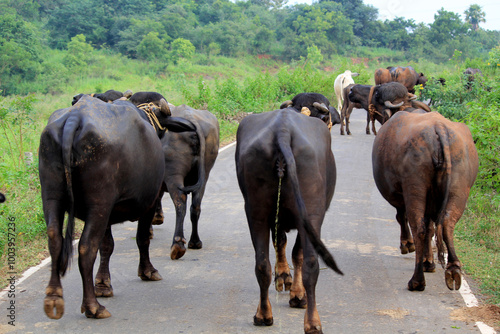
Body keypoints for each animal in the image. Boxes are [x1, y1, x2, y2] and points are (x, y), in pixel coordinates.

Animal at [39, 95, 195, 320]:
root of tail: (74, 118)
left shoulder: (108, 214)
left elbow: (107, 246)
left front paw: (103, 284)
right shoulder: (149, 203)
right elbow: (142, 238)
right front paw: (147, 271)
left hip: (52, 198)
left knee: (55, 239)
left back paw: (54, 298)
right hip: (99, 204)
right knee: (86, 247)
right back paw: (93, 307)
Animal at [236, 108, 342, 332]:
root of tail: (282, 130)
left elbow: (281, 244)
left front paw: (283, 277)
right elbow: (296, 253)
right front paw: (296, 294)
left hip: (256, 211)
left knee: (262, 264)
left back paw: (263, 314)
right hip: (311, 213)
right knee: (310, 263)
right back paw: (312, 321)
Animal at [374, 111, 478, 290]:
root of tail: (439, 128)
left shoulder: (399, 196)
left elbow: (402, 217)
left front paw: (407, 245)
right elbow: (431, 228)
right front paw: (428, 262)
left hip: (415, 187)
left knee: (419, 228)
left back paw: (416, 281)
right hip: (459, 188)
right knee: (447, 224)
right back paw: (453, 269)